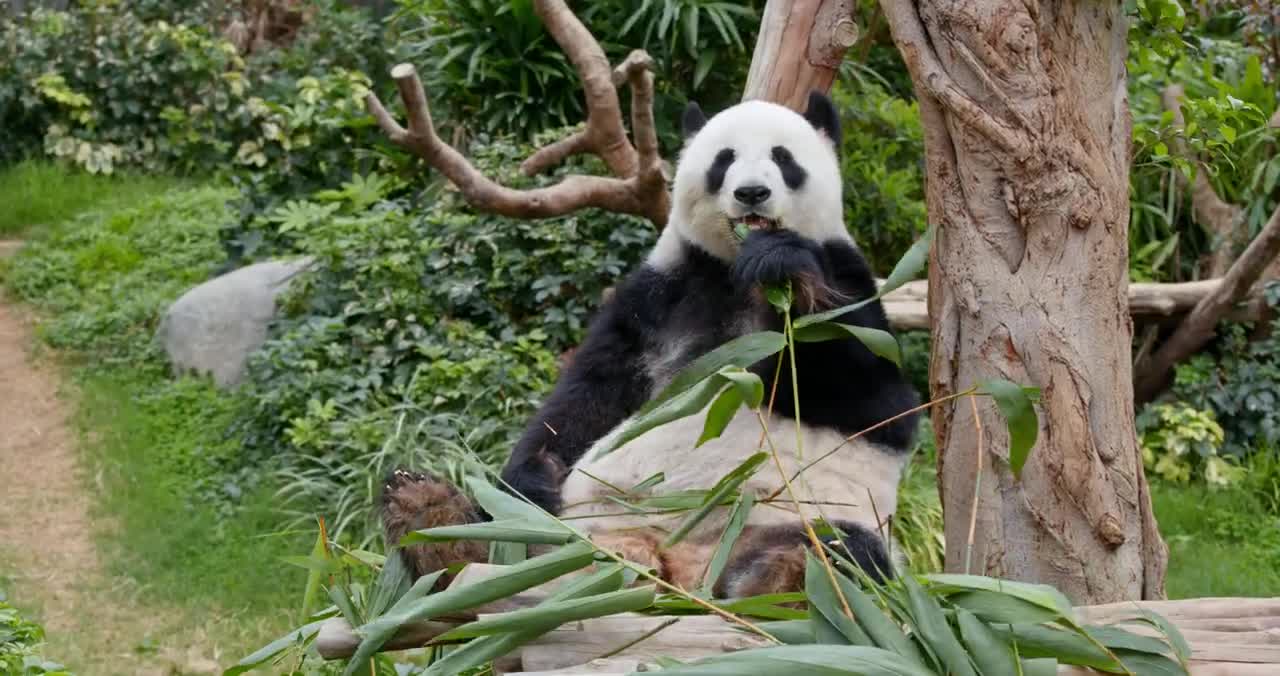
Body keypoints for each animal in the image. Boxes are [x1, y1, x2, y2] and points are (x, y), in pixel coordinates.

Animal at [378, 89, 921, 596]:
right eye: (724, 160)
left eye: (784, 158)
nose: (752, 192)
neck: (733, 273)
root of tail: (675, 564)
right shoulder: (658, 298)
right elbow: (589, 393)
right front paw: (531, 475)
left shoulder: (849, 282)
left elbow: (878, 400)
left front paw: (783, 266)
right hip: (578, 530)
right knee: (515, 539)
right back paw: (431, 519)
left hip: (795, 518)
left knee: (843, 552)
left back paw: (784, 576)